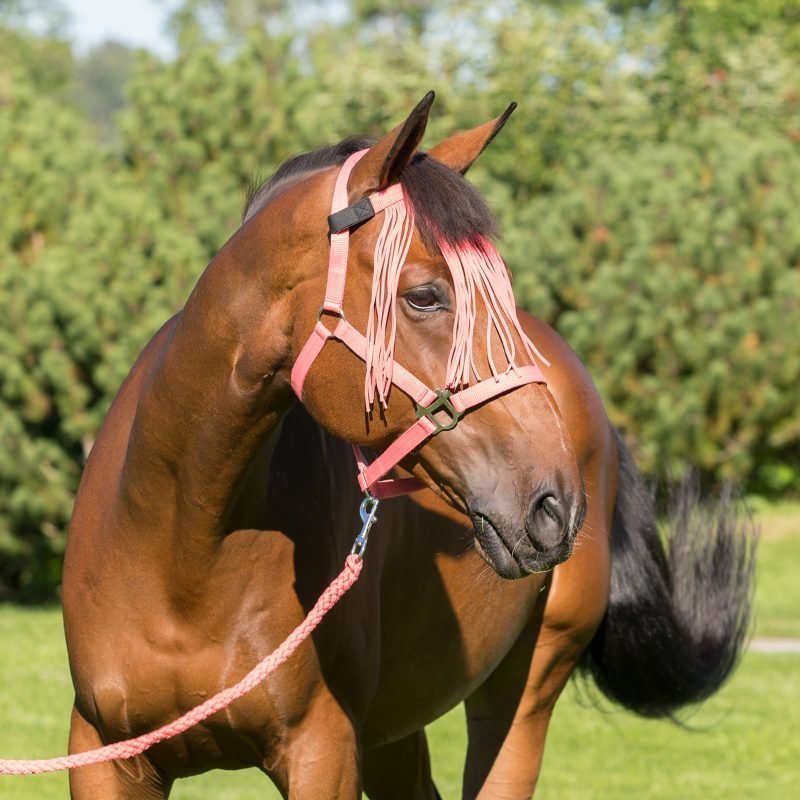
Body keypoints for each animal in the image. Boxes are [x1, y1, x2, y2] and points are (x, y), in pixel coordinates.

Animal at [59, 90, 752, 796]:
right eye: (424, 295)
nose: (555, 506)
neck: (182, 544)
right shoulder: (104, 754)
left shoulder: (324, 751)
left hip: (524, 692)